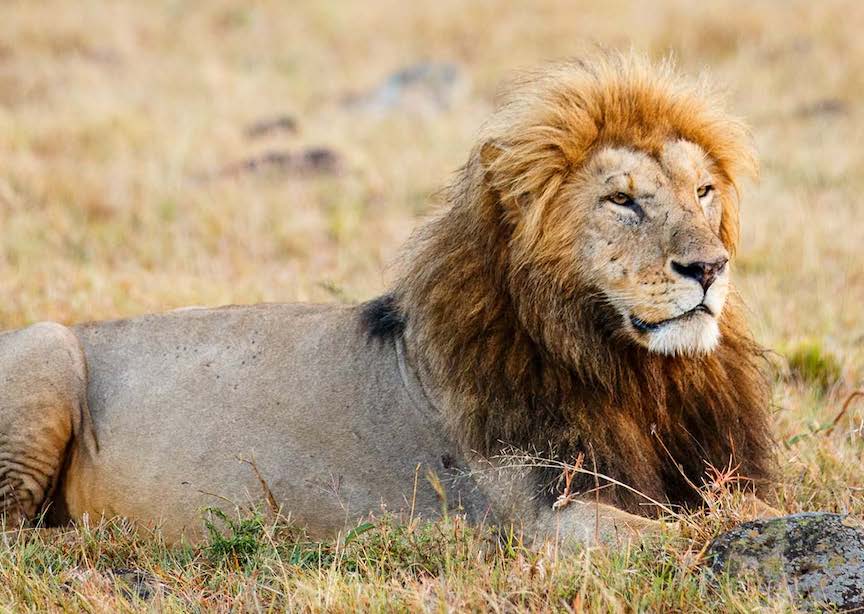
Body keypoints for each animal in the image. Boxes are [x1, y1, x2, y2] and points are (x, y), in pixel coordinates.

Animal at [0, 53, 772, 544]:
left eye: (703, 191)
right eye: (622, 201)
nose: (710, 268)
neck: (636, 376)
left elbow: (740, 507)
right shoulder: (545, 516)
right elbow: (688, 537)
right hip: (47, 346)